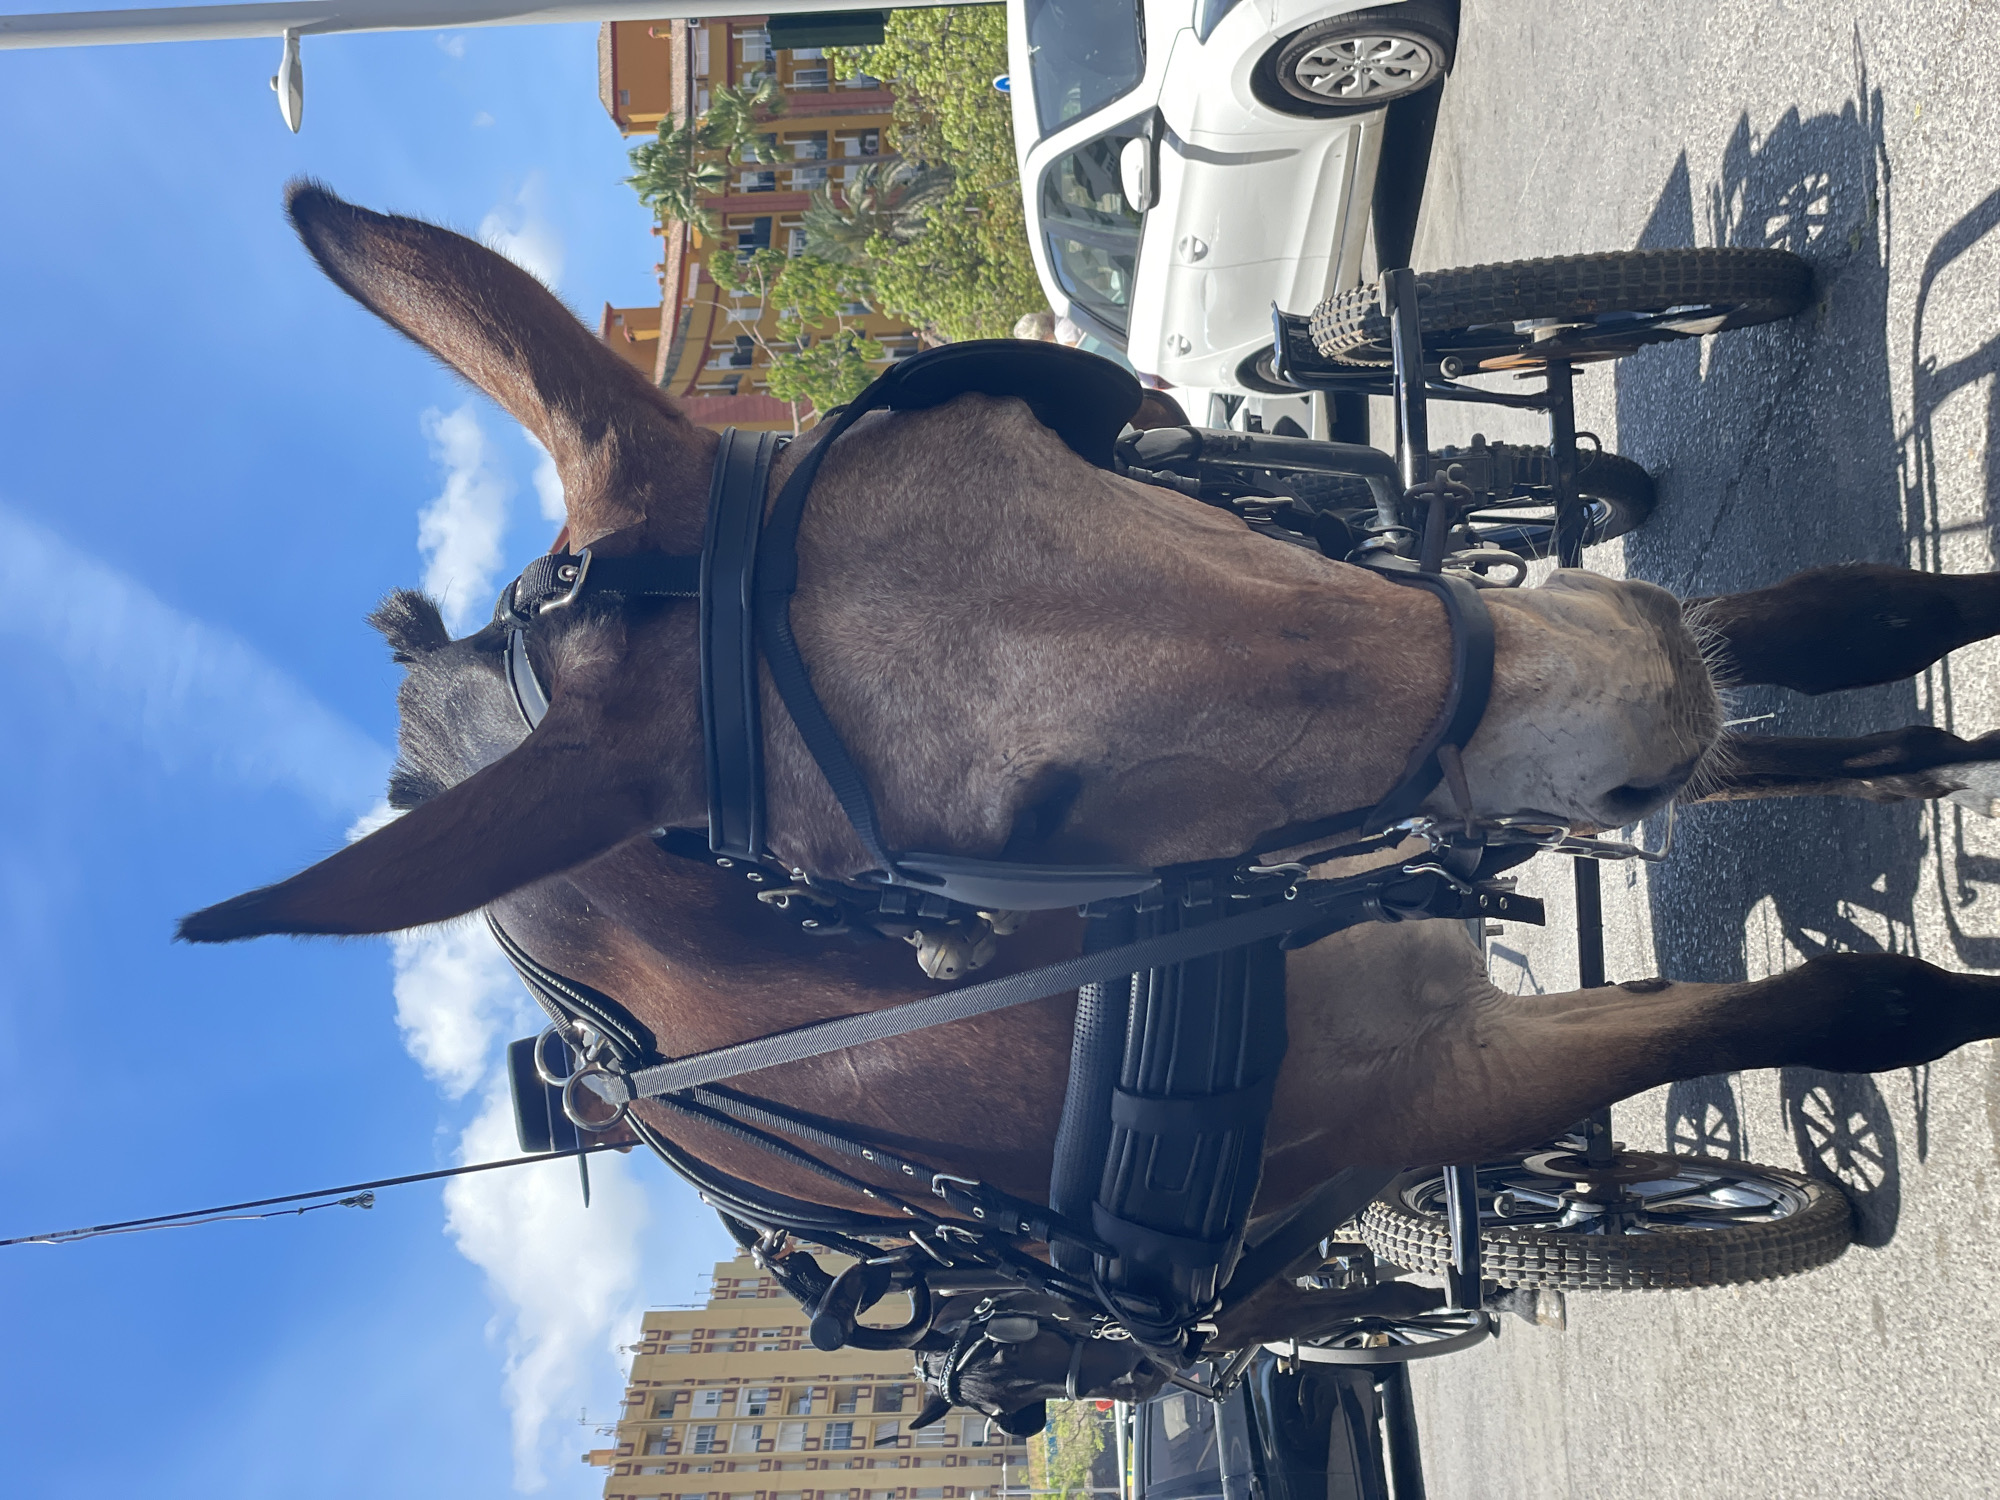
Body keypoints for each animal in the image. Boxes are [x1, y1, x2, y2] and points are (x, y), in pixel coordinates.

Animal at [180, 185, 2000, 1413]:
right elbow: (1864, 1002)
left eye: (1035, 434)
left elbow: (1825, 624)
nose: (1634, 686)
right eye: (1026, 821)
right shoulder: (1445, 1069)